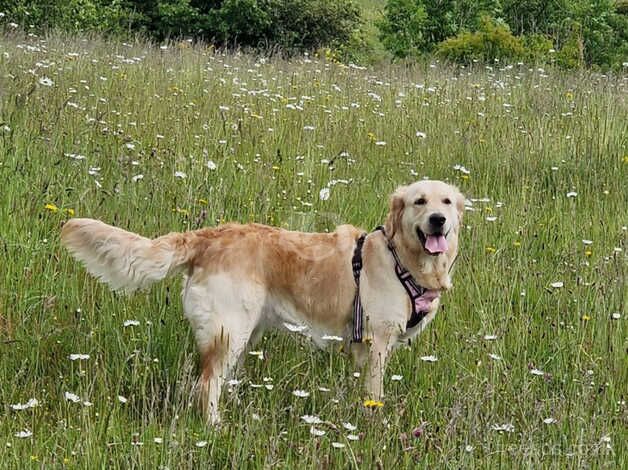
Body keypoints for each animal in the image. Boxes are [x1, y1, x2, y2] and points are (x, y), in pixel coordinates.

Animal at [61, 178, 464, 424]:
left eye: (446, 201)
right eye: (419, 201)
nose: (438, 219)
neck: (402, 260)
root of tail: (208, 236)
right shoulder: (377, 341)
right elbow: (374, 392)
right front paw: (373, 422)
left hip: (244, 331)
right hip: (231, 329)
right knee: (206, 384)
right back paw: (215, 426)